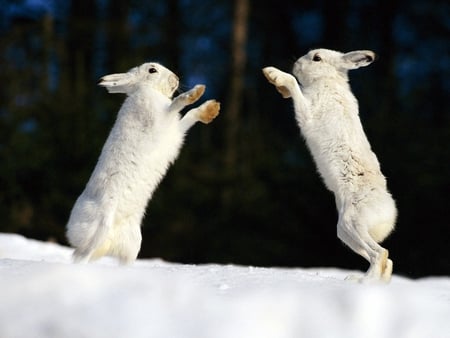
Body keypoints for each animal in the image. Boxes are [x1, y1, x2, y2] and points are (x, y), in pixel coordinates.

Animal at [66, 62, 220, 264]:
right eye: (152, 70)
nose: (176, 78)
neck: (145, 89)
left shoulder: (175, 131)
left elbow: (189, 116)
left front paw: (211, 109)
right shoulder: (160, 120)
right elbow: (176, 104)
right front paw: (196, 92)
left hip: (132, 244)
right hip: (98, 230)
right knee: (82, 255)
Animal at [266, 48, 396, 282]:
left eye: (317, 58)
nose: (296, 64)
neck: (328, 80)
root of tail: (389, 212)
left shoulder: (309, 112)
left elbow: (295, 86)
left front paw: (276, 74)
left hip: (351, 224)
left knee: (380, 254)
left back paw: (363, 281)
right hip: (346, 233)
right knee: (386, 260)